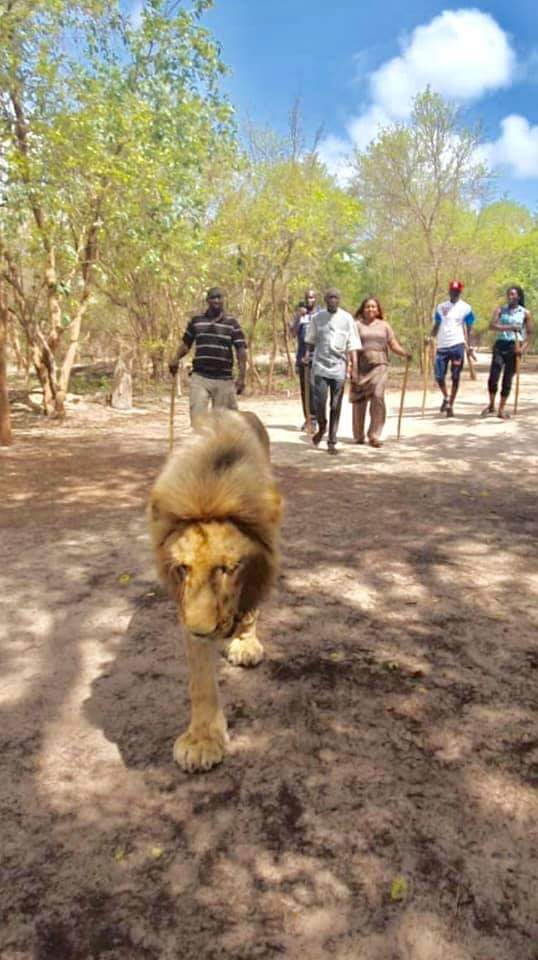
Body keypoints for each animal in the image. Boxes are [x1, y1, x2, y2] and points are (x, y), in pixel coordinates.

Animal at [148, 409, 282, 772]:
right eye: (183, 568)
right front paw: (202, 741)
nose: (201, 630)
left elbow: (250, 608)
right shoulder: (187, 609)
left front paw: (245, 644)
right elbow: (201, 681)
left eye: (226, 568)